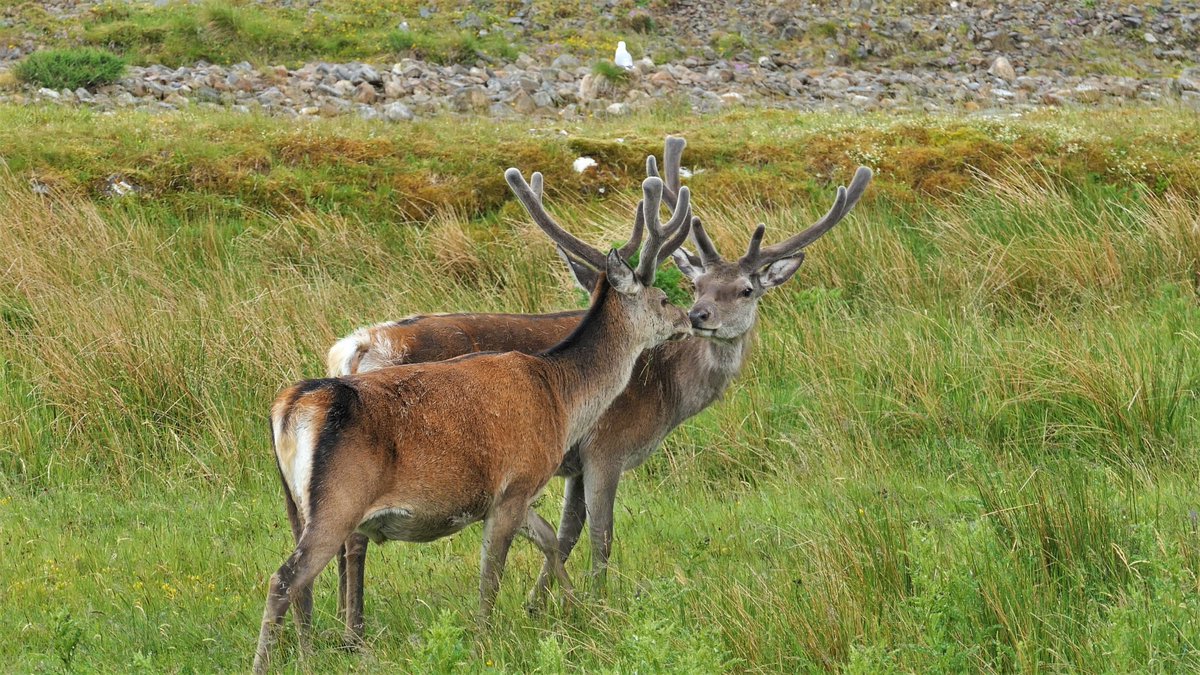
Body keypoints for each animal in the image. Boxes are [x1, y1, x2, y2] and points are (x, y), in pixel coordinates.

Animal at [250, 170, 696, 667]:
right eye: (662, 297)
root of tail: (291, 405)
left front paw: (570, 607)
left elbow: (548, 538)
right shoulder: (518, 480)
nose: (689, 318)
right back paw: (268, 661)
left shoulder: (510, 493)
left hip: (295, 503)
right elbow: (492, 573)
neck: (560, 397)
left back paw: (309, 653)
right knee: (285, 578)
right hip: (338, 501)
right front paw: (486, 638)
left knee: (303, 586)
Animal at [328, 135, 873, 619]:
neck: (668, 393)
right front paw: (593, 603)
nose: (700, 316)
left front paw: (538, 604)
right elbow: (601, 535)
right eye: (696, 285)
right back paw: (353, 629)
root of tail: (357, 347)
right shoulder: (606, 448)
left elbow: (566, 532)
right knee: (350, 535)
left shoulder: (572, 462)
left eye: (745, 290)